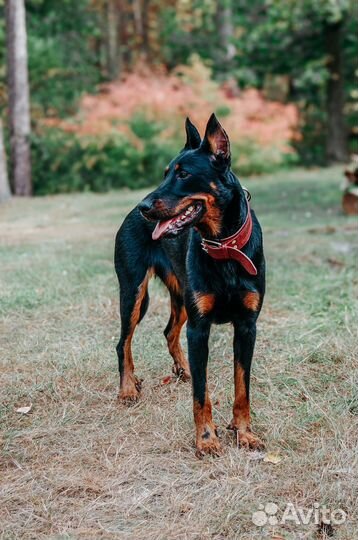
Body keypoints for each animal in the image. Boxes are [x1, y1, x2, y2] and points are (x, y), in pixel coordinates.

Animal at [114, 114, 266, 456]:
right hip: (133, 292)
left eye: (184, 174)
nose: (144, 206)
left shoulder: (247, 326)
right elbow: (201, 393)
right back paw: (128, 388)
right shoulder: (200, 328)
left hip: (182, 297)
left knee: (169, 331)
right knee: (123, 342)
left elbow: (242, 388)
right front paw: (206, 438)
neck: (225, 247)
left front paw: (244, 433)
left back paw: (181, 369)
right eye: (165, 173)